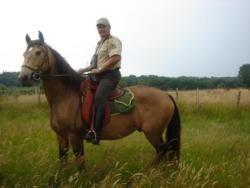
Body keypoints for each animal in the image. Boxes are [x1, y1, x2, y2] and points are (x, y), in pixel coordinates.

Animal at [18, 31, 182, 165]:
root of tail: (166, 95)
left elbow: (80, 164)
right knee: (167, 152)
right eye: (24, 54)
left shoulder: (75, 136)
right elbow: (62, 161)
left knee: (163, 150)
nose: (23, 77)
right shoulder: (61, 136)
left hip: (152, 132)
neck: (65, 96)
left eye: (38, 52)